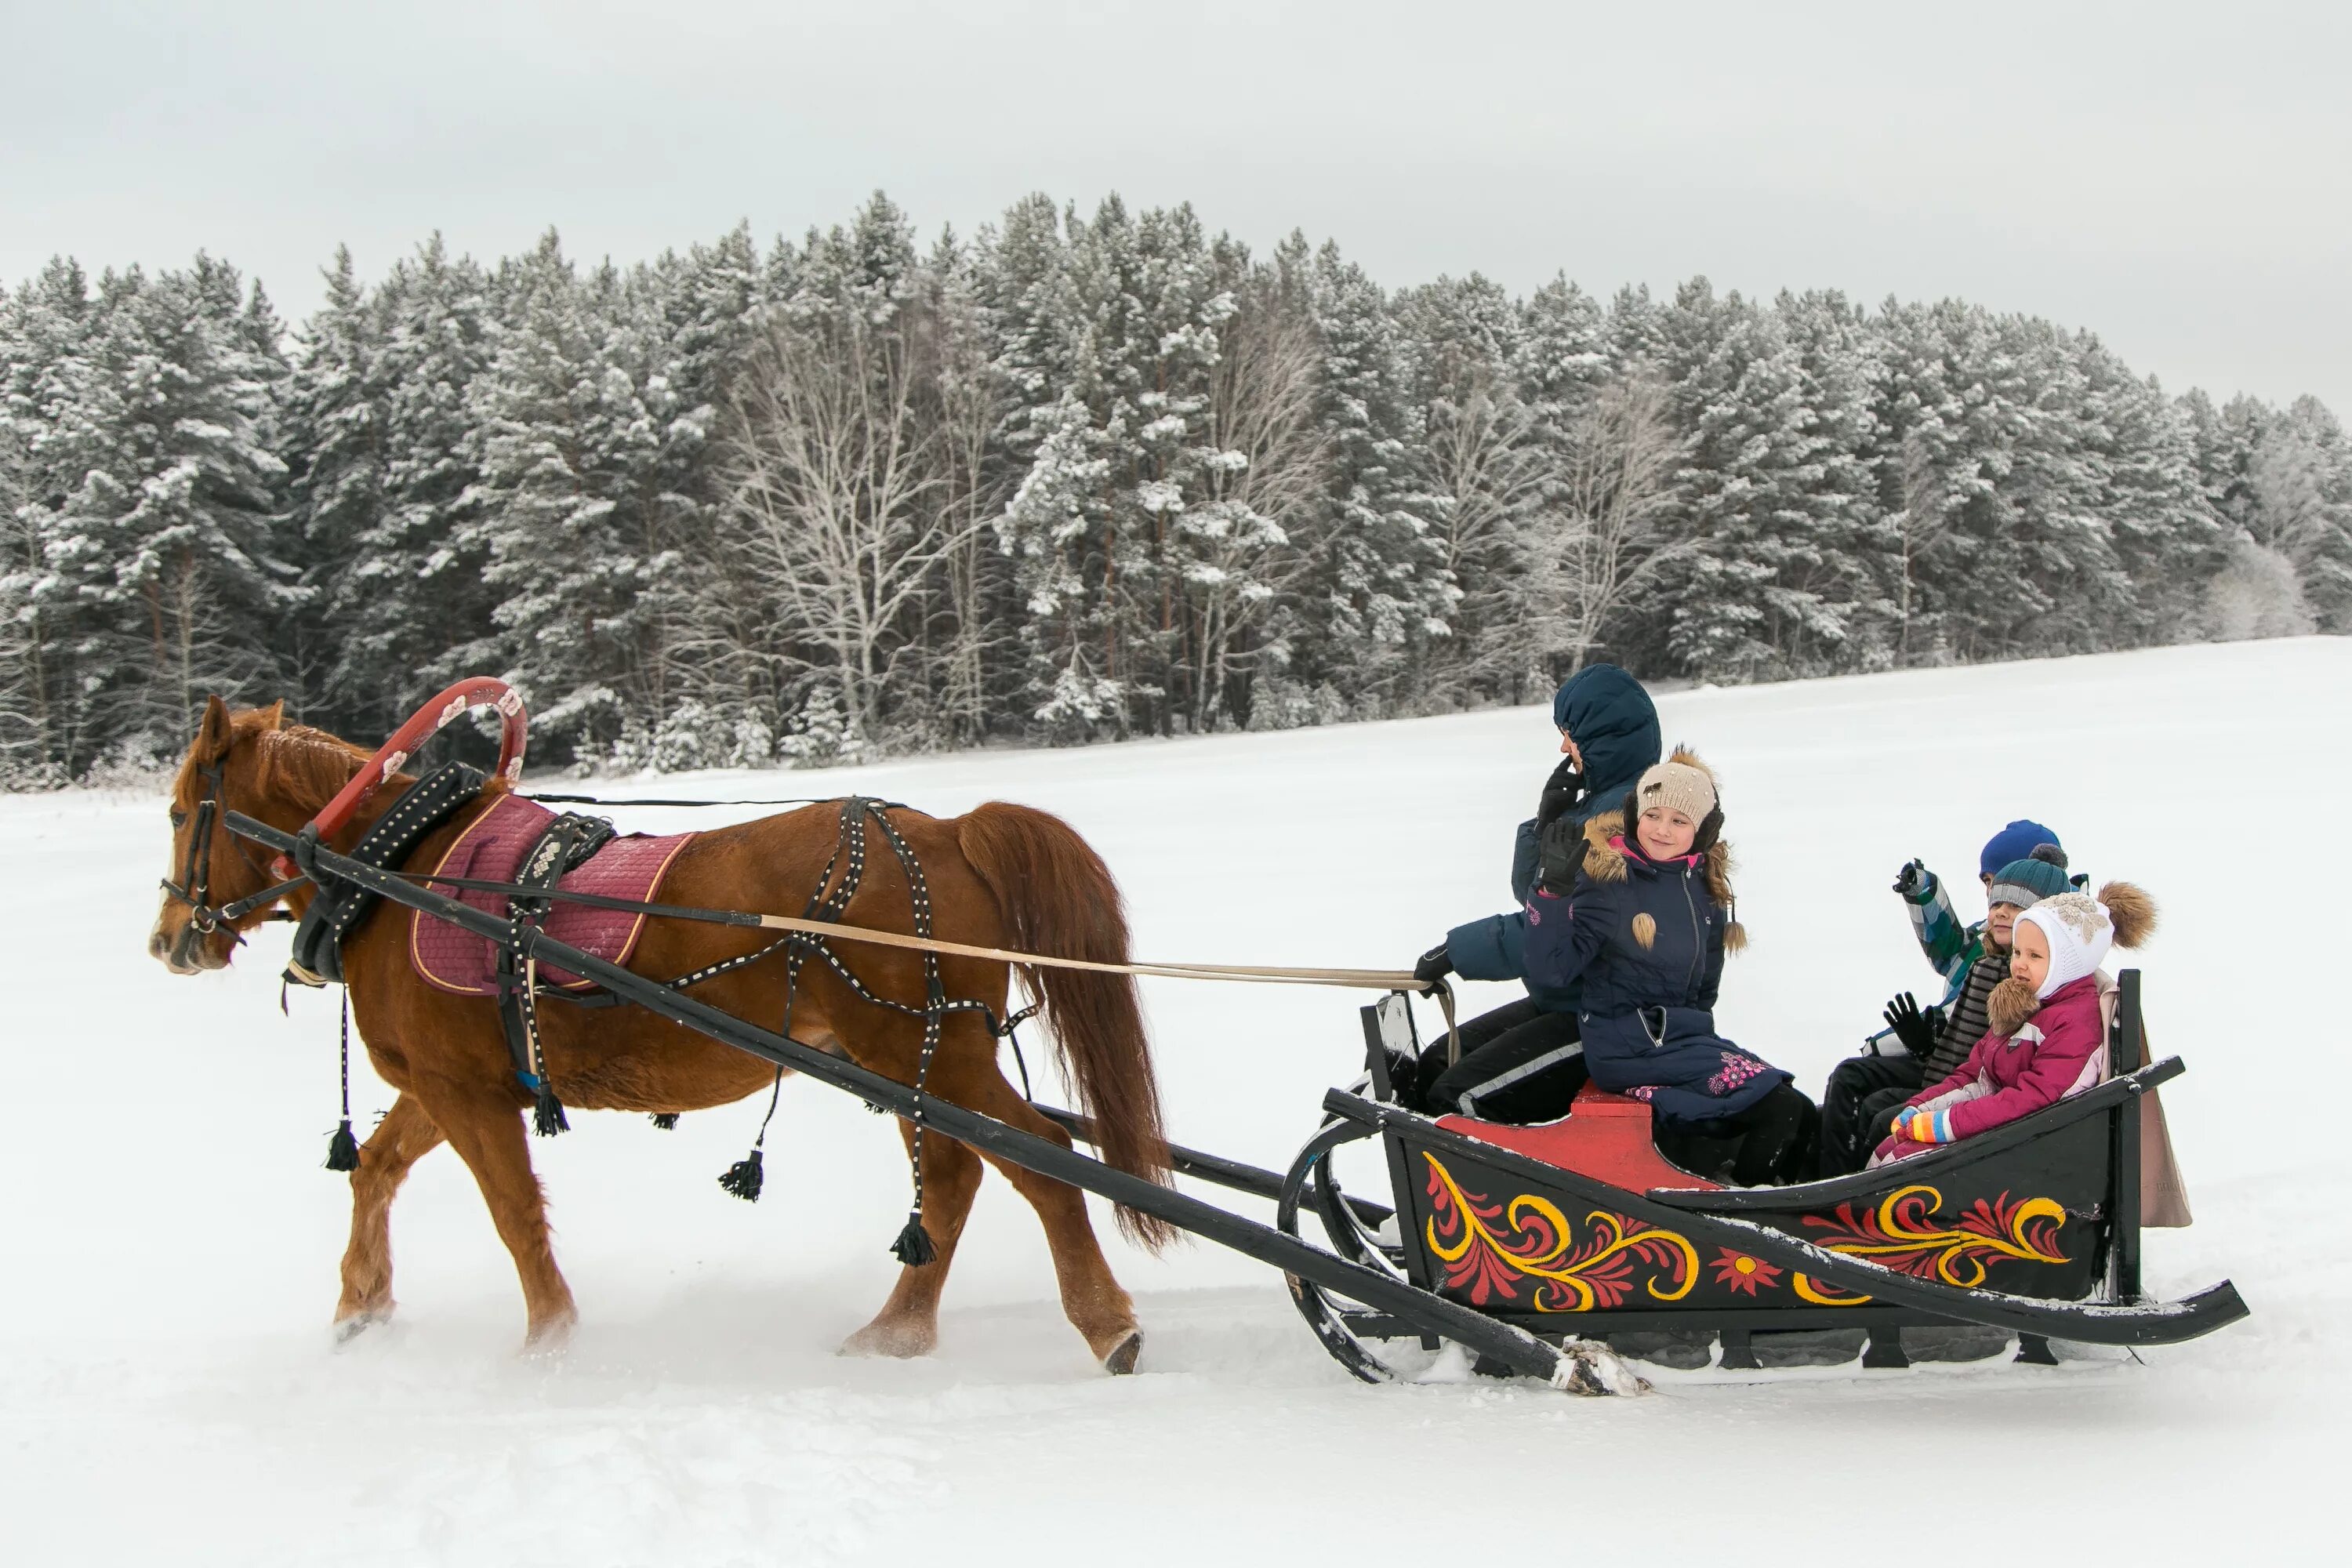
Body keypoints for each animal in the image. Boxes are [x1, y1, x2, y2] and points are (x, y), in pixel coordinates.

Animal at [147, 700, 1176, 1373]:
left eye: (179, 810)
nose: (168, 939)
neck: (400, 868)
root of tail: (953, 828)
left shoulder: (465, 1092)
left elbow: (513, 1212)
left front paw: (549, 1344)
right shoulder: (449, 1084)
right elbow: (377, 1172)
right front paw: (361, 1306)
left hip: (930, 1052)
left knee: (1036, 1158)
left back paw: (1103, 1321)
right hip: (909, 1060)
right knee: (960, 1176)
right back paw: (898, 1330)